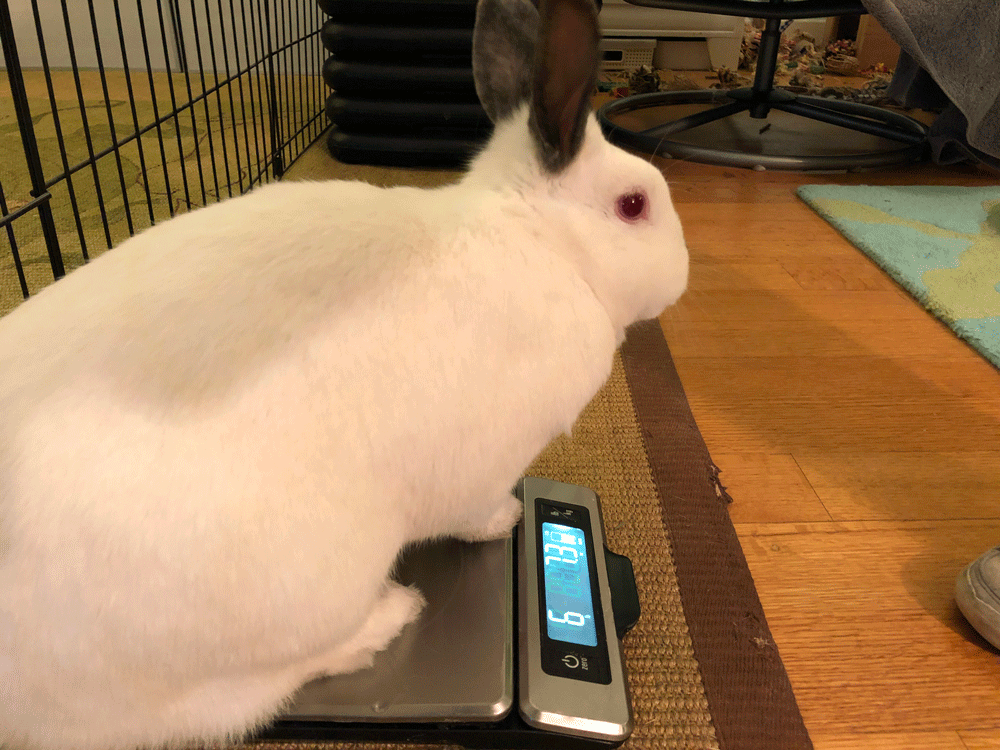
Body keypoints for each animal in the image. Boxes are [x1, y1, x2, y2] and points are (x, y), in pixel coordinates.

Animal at [0, 0, 688, 747]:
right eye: (633, 206)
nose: (682, 277)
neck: (538, 238)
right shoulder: (484, 464)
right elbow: (475, 509)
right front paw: (506, 521)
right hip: (292, 599)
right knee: (232, 700)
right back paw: (388, 619)